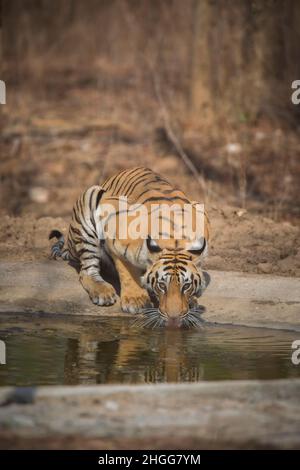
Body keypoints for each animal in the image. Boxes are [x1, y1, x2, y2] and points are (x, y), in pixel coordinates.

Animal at [49, 168, 210, 326]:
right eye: (162, 285)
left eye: (186, 286)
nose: (173, 318)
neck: (174, 242)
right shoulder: (113, 226)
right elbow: (126, 270)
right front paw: (135, 301)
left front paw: (192, 299)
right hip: (90, 200)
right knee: (86, 271)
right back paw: (102, 292)